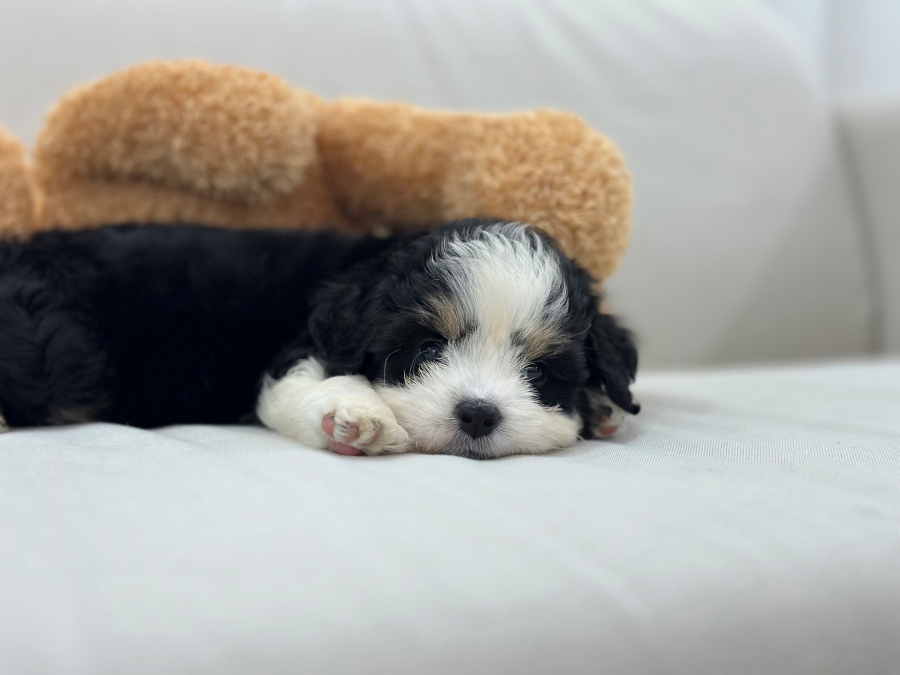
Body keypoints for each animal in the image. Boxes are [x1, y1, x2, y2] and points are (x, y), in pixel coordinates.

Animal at [0, 218, 639, 458]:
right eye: (428, 349)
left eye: (540, 373)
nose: (479, 414)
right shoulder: (297, 344)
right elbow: (303, 383)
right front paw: (355, 415)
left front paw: (601, 406)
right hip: (58, 351)